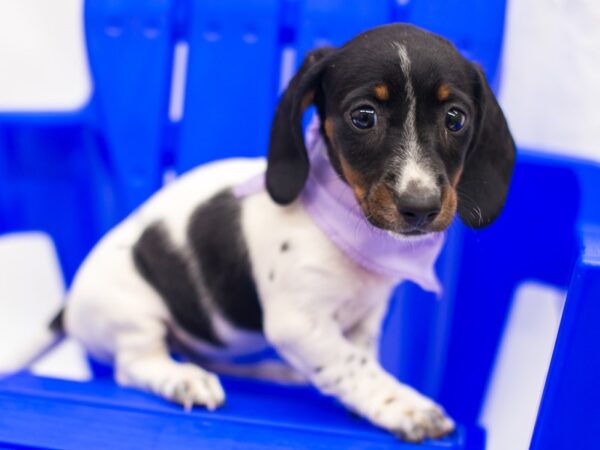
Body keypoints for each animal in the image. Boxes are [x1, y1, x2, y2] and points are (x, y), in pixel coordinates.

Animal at [1, 22, 516, 442]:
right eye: (363, 116)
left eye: (456, 118)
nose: (421, 208)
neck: (349, 229)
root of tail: (68, 306)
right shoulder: (299, 322)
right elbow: (352, 366)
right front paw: (404, 406)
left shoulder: (363, 320)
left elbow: (358, 363)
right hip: (133, 313)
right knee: (135, 365)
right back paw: (183, 378)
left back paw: (275, 373)